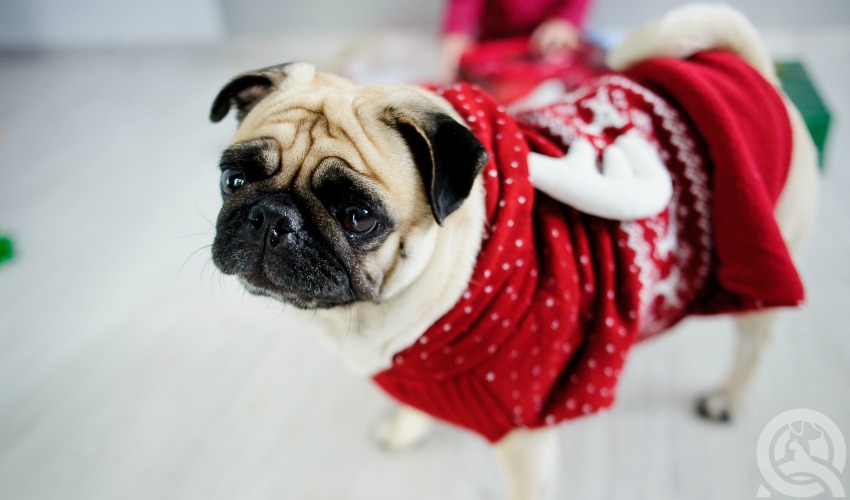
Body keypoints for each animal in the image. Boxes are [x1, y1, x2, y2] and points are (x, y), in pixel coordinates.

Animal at [204, 4, 816, 500]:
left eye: (358, 217)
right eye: (233, 181)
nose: (271, 219)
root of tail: (744, 67)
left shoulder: (525, 441)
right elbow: (413, 403)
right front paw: (405, 428)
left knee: (753, 348)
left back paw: (726, 398)